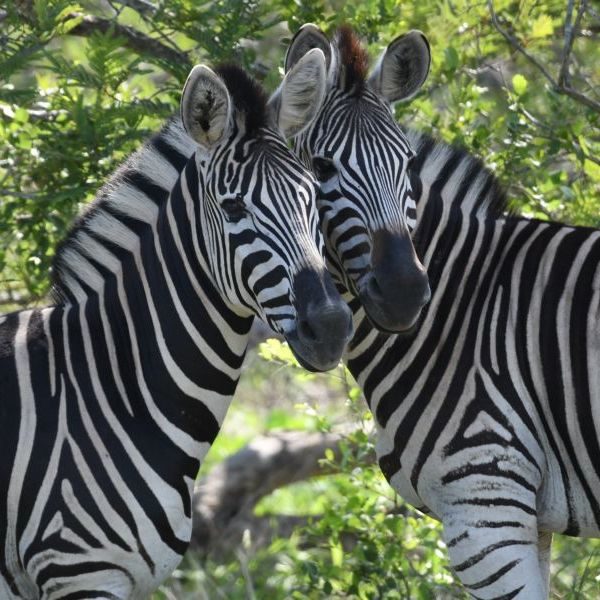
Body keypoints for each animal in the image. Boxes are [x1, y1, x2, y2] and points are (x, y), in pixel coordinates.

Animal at [286, 24, 600, 600]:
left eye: (407, 163)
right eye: (320, 167)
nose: (406, 292)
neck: (466, 309)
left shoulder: (484, 505)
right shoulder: (526, 518)